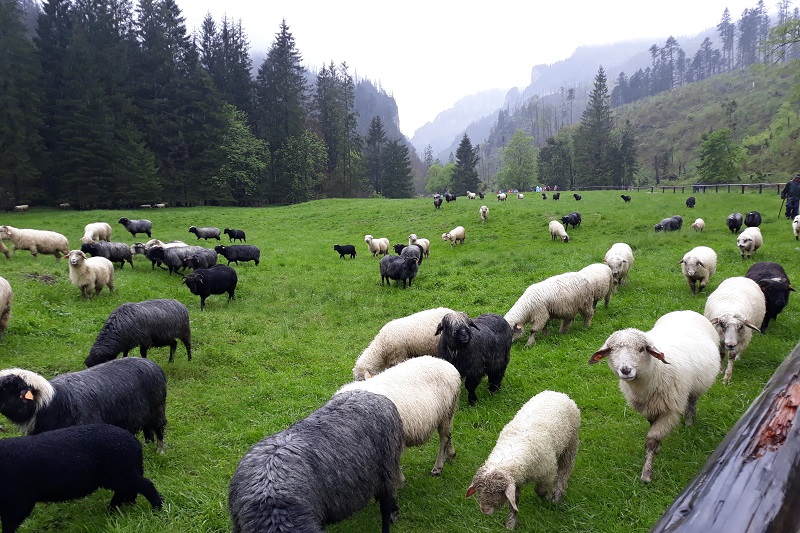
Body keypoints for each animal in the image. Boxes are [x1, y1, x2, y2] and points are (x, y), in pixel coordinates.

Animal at [0, 356, 167, 450]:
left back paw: (160, 451)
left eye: (7, 387)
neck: (53, 404)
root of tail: (150, 362)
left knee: (159, 428)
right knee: (147, 429)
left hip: (157, 409)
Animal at [0, 422, 162, 532]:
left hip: (122, 471)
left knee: (145, 486)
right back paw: (112, 510)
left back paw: (157, 509)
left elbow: (9, 523)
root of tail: (135, 443)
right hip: (118, 475)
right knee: (126, 491)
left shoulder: (19, 499)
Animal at [462, 388, 580, 528]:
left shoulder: (547, 473)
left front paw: (546, 498)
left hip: (571, 443)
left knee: (564, 470)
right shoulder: (515, 480)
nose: (484, 510)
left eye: (496, 492)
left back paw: (557, 494)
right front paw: (511, 523)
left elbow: (539, 490)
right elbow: (514, 502)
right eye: (479, 491)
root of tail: (557, 392)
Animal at [588, 310, 720, 484]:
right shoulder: (649, 408)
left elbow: (651, 439)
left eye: (641, 349)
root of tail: (685, 311)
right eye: (612, 350)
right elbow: (652, 428)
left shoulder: (670, 411)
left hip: (696, 386)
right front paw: (658, 448)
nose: (625, 370)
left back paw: (689, 421)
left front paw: (646, 473)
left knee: (692, 401)